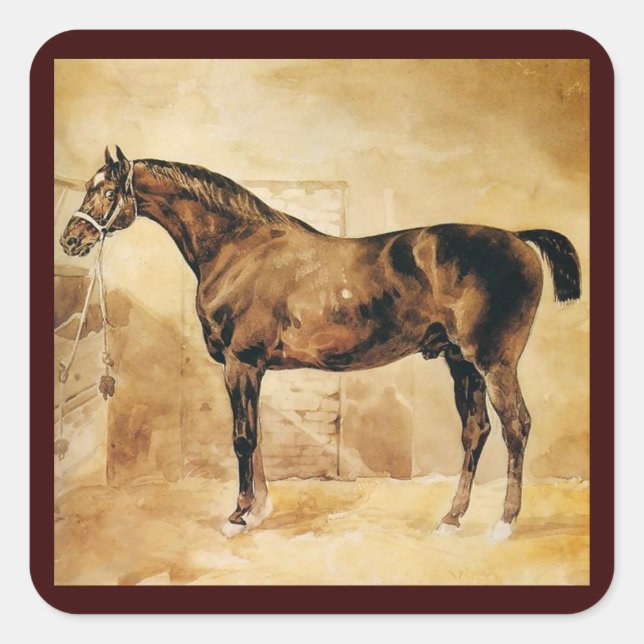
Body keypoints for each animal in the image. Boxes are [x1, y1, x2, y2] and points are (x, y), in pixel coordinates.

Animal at [60, 146, 581, 540]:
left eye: (108, 190)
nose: (71, 239)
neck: (240, 249)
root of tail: (518, 238)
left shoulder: (240, 363)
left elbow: (243, 438)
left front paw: (238, 515)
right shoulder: (253, 368)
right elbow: (257, 436)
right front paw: (260, 510)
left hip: (494, 363)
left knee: (516, 427)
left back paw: (503, 524)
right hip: (461, 363)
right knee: (476, 432)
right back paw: (452, 518)